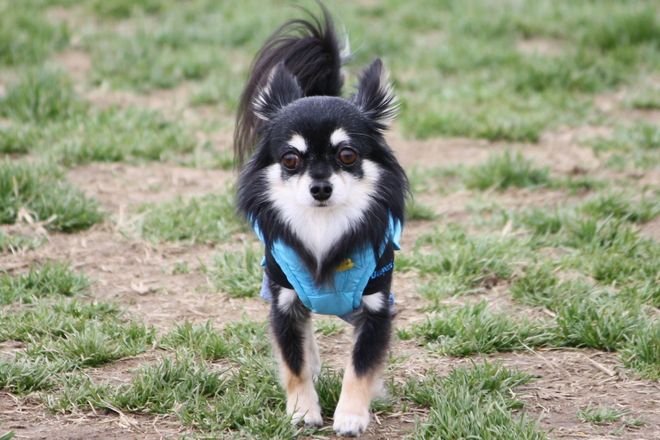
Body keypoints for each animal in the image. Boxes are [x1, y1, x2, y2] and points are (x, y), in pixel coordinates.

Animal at [234, 5, 408, 437]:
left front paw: (350, 416)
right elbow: (292, 360)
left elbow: (360, 365)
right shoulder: (283, 298)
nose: (320, 187)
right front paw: (302, 410)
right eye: (290, 159)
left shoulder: (377, 306)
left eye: (347, 155)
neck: (322, 226)